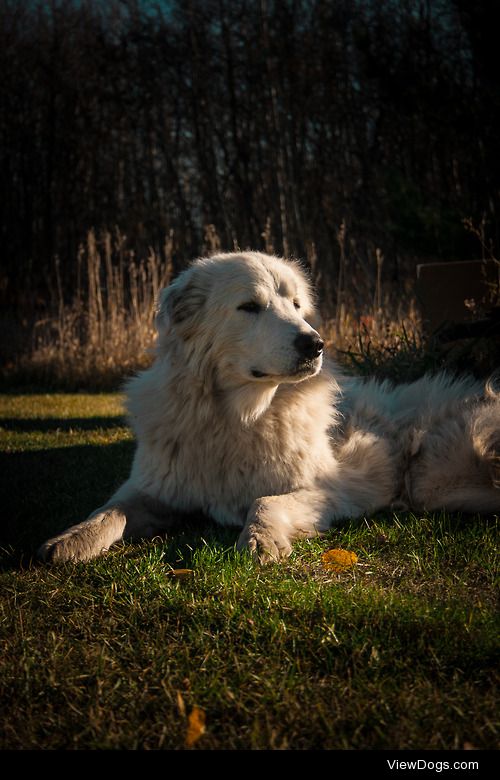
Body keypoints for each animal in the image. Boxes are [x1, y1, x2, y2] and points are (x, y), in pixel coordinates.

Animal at [38, 250, 500, 560]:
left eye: (296, 306)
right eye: (250, 307)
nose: (315, 344)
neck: (237, 418)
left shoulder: (333, 490)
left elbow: (265, 502)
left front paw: (259, 540)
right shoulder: (152, 490)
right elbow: (107, 511)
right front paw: (67, 540)